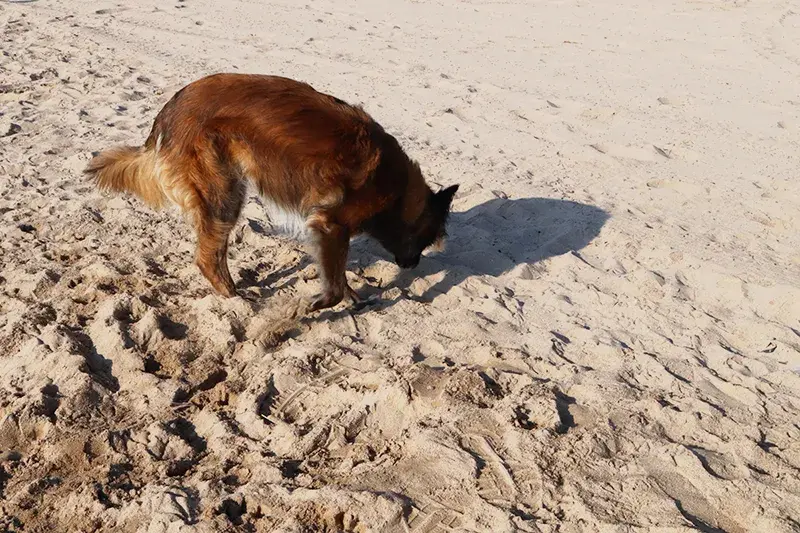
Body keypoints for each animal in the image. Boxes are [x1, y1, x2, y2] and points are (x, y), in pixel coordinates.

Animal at [84, 72, 460, 310]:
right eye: (427, 240)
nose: (412, 265)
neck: (396, 189)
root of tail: (168, 110)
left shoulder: (330, 230)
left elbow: (339, 278)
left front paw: (354, 297)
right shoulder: (331, 225)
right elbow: (335, 286)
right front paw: (318, 304)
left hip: (228, 192)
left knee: (213, 253)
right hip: (223, 195)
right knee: (207, 257)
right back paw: (236, 299)